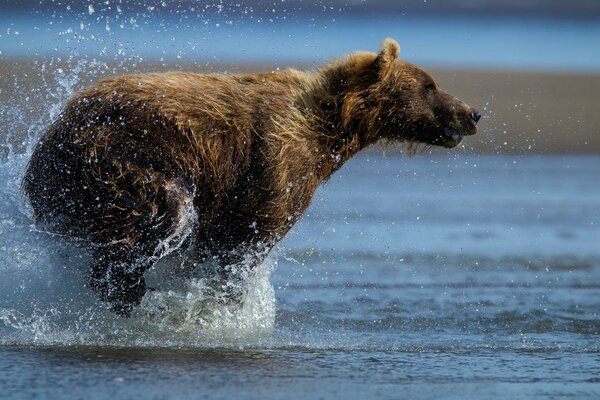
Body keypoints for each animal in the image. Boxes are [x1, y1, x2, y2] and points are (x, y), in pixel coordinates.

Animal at [23, 39, 480, 318]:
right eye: (429, 85)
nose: (472, 112)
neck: (330, 129)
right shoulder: (274, 165)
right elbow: (241, 241)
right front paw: (222, 306)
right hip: (115, 158)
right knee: (159, 212)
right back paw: (129, 291)